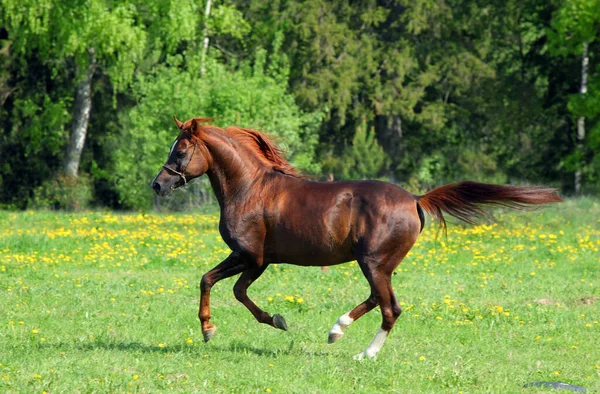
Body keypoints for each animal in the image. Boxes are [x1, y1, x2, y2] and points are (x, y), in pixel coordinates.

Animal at [151, 117, 564, 360]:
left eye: (181, 149)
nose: (158, 184)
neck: (249, 189)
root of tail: (415, 199)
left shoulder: (250, 256)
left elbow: (214, 282)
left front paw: (212, 329)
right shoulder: (258, 261)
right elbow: (230, 289)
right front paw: (272, 321)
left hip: (373, 262)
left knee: (390, 308)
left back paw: (359, 350)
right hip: (382, 264)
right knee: (380, 301)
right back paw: (340, 333)